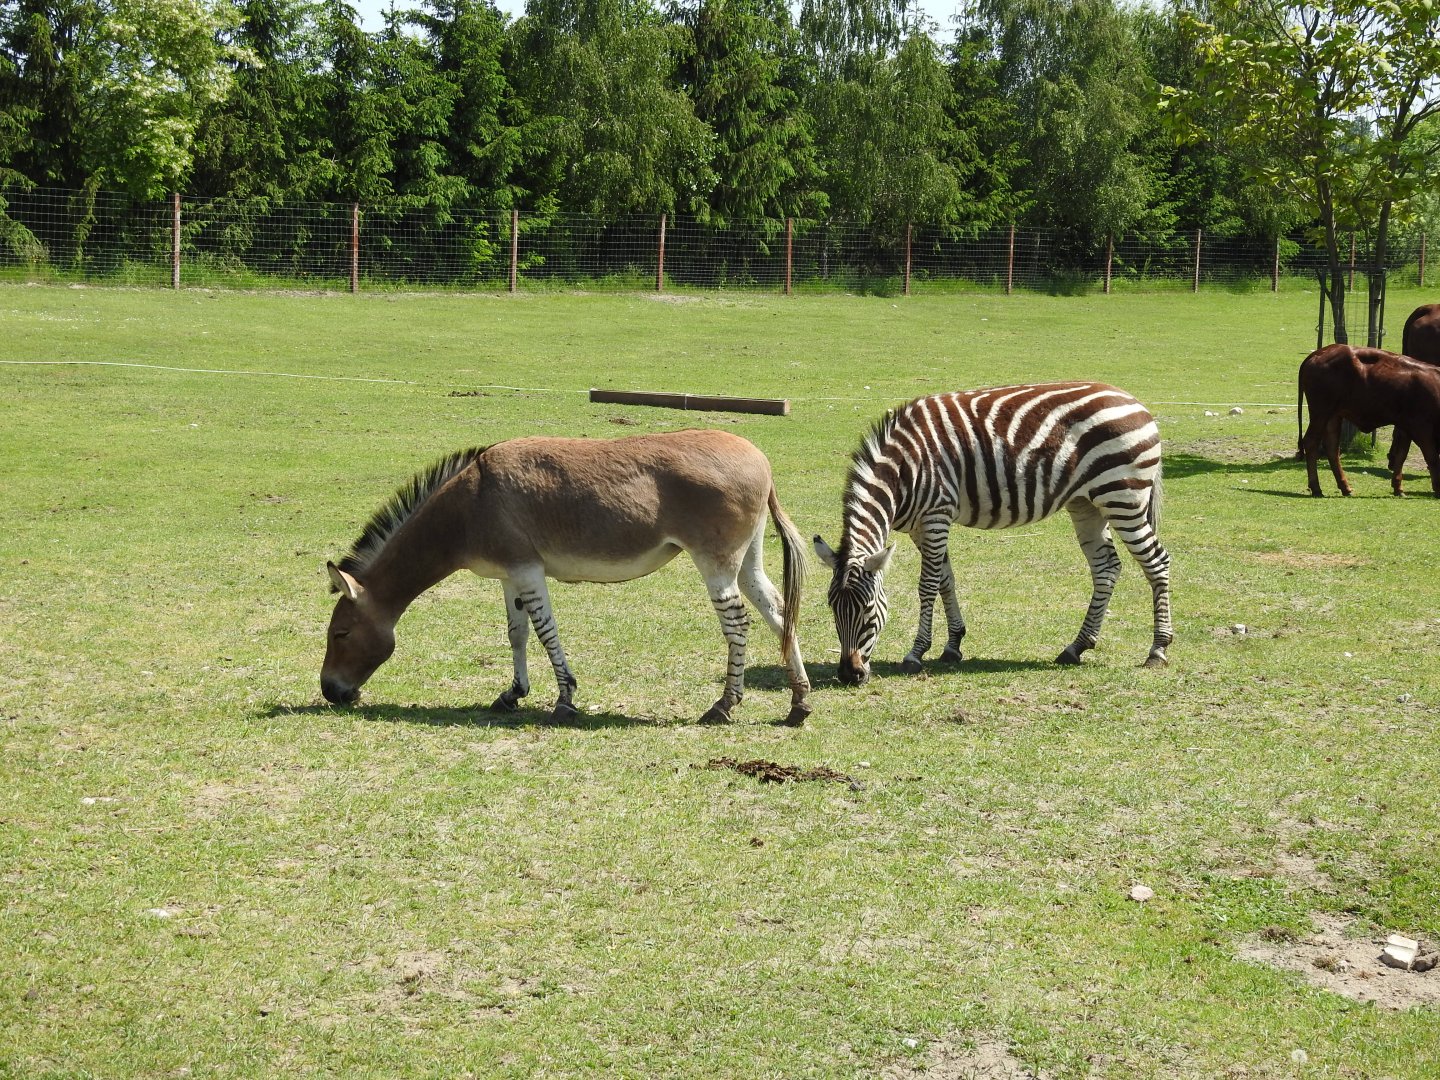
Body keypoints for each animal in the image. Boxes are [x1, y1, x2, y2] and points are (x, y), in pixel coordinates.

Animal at [813, 382, 1172, 684]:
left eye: (868, 610)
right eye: (832, 609)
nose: (848, 675)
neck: (904, 471)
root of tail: (1134, 402)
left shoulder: (936, 516)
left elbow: (927, 585)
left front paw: (916, 653)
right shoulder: (921, 526)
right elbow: (945, 580)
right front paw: (953, 645)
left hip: (1122, 497)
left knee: (1157, 562)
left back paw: (1158, 650)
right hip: (1087, 504)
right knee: (1106, 568)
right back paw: (1076, 647)